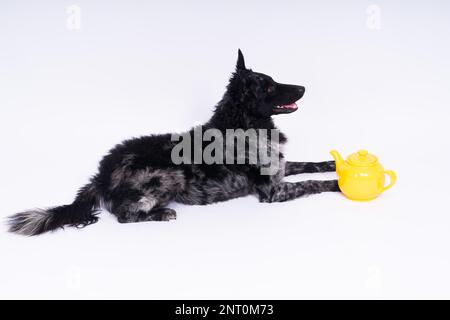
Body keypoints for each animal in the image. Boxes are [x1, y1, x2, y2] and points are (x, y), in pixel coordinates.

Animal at [7, 49, 338, 235]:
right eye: (268, 86)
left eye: (273, 80)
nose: (302, 88)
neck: (243, 123)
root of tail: (100, 175)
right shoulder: (272, 191)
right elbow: (313, 183)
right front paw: (338, 184)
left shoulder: (280, 168)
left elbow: (310, 164)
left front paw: (333, 163)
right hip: (170, 175)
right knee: (124, 215)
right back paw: (161, 214)